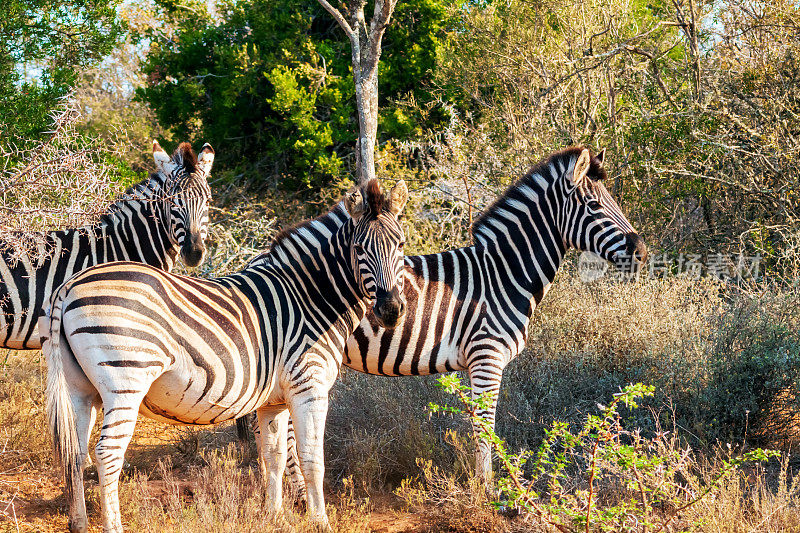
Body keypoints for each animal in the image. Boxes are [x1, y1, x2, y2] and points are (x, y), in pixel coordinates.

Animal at [41, 178, 410, 528]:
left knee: (74, 453)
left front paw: (273, 516)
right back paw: (113, 525)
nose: (391, 310)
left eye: (401, 244)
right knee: (106, 454)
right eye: (359, 248)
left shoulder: (273, 400)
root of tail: (68, 285)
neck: (310, 297)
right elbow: (311, 458)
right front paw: (320, 522)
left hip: (80, 388)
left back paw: (78, 523)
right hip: (125, 380)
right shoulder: (310, 385)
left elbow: (274, 456)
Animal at [250, 144, 648, 494]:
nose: (641, 251)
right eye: (594, 206)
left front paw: (484, 486)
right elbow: (485, 427)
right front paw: (489, 493)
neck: (502, 273)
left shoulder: (477, 363)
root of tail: (259, 259)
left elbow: (479, 425)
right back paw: (299, 497)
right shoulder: (487, 357)